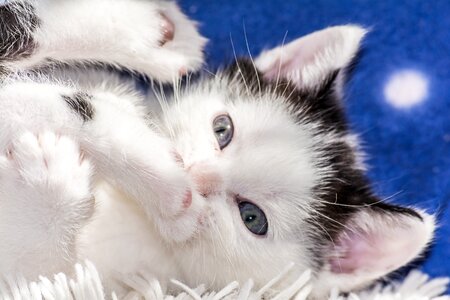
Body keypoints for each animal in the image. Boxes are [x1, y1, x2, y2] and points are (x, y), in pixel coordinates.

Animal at [0, 1, 436, 298]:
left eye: (252, 218)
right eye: (222, 129)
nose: (193, 172)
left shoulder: (108, 280)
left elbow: (38, 272)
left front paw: (53, 179)